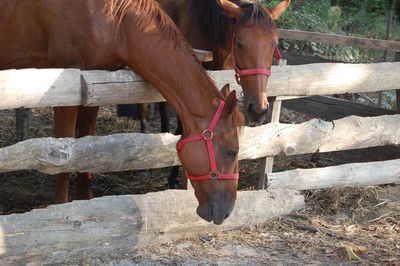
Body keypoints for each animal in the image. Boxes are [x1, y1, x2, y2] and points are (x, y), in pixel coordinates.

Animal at [0, 0, 244, 224]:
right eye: (231, 151)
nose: (227, 211)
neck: (114, 20)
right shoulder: (65, 92)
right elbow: (64, 153)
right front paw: (61, 209)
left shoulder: (96, 87)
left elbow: (85, 145)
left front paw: (85, 202)